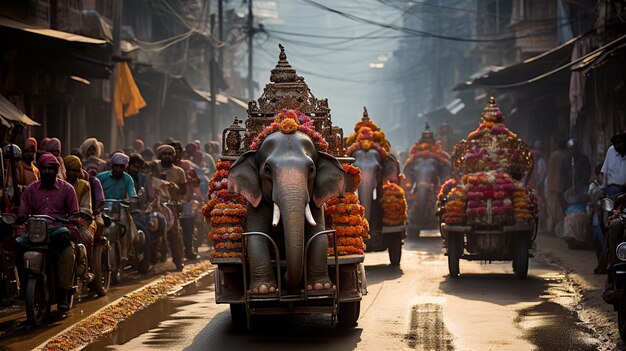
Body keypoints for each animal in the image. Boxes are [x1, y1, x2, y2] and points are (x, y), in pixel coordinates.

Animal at [228, 110, 346, 294]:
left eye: (311, 169)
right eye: (268, 170)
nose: (286, 282)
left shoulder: (315, 202)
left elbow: (318, 235)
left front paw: (321, 287)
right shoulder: (255, 203)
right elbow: (257, 237)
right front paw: (263, 290)